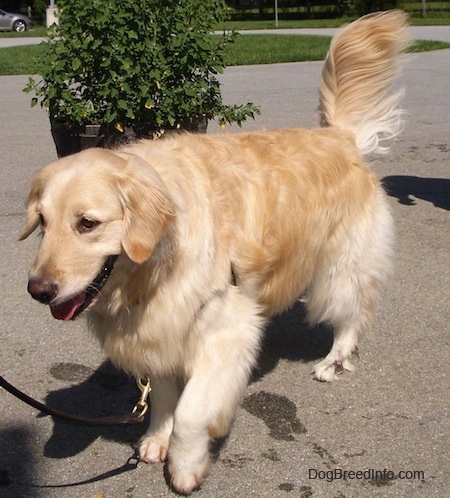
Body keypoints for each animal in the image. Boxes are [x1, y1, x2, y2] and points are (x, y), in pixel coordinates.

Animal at [20, 10, 408, 494]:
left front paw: (185, 466)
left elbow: (190, 412)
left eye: (87, 223)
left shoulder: (226, 328)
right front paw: (156, 438)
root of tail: (340, 137)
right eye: (42, 222)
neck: (157, 263)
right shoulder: (161, 328)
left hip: (342, 263)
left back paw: (333, 361)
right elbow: (163, 398)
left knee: (352, 313)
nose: (37, 290)